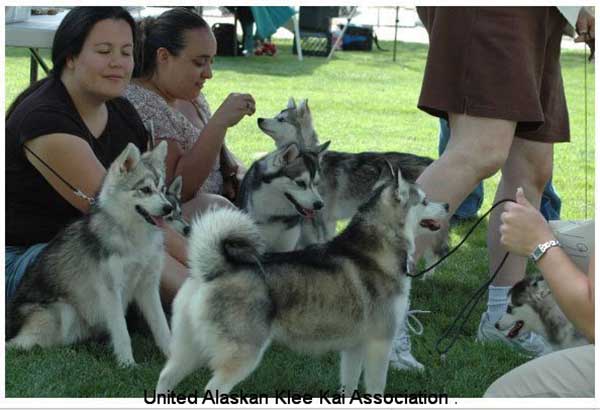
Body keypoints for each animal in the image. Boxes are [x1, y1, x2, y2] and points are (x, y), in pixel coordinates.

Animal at [6, 142, 171, 366]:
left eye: (163, 190)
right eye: (145, 190)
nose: (169, 208)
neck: (135, 237)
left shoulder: (148, 286)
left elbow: (162, 327)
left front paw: (172, 357)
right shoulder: (111, 290)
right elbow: (122, 332)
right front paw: (127, 364)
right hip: (63, 312)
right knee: (18, 346)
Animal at [157, 169, 448, 394]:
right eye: (424, 200)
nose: (446, 206)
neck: (378, 248)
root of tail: (215, 267)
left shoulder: (354, 348)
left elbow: (349, 388)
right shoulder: (379, 344)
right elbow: (377, 389)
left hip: (188, 350)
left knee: (165, 378)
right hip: (241, 355)